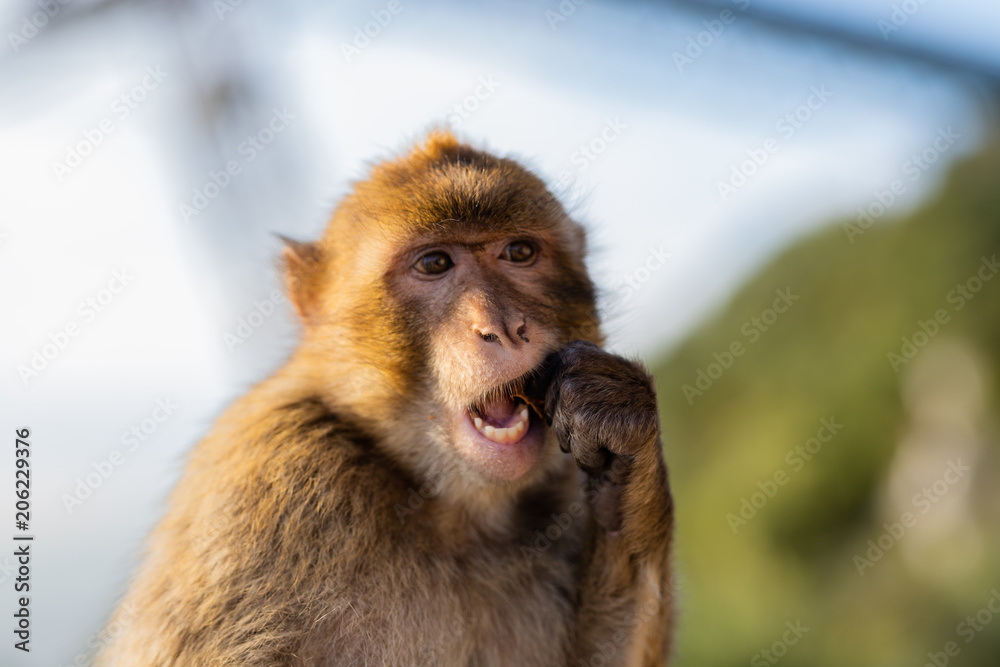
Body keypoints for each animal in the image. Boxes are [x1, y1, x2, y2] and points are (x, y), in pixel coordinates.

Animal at [96, 130, 674, 666]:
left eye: (519, 252)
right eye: (435, 263)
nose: (505, 328)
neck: (448, 510)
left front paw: (622, 444)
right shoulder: (269, 479)